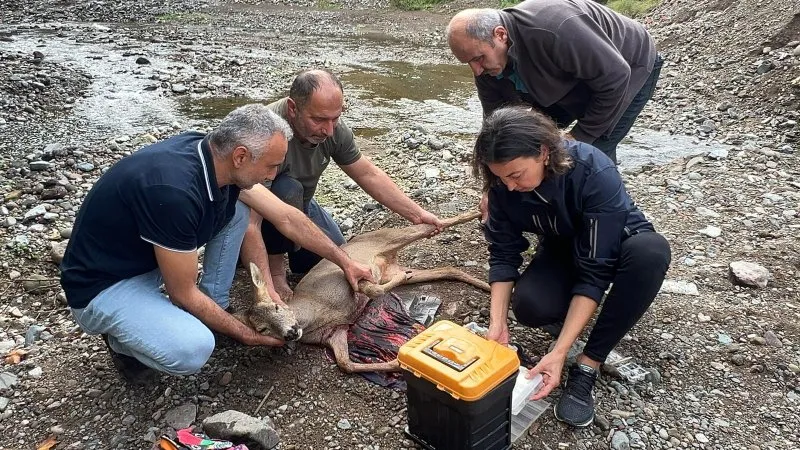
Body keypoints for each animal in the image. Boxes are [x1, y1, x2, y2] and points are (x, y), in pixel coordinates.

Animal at [238, 211, 488, 372]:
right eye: (262, 329)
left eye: (277, 306)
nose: (290, 332)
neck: (314, 313)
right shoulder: (335, 332)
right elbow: (345, 364)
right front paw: (397, 363)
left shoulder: (346, 278)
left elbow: (371, 289)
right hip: (400, 265)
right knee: (447, 268)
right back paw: (482, 284)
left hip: (391, 236)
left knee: (434, 224)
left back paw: (480, 210)